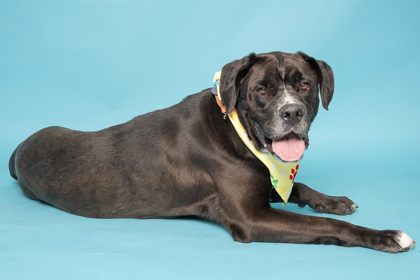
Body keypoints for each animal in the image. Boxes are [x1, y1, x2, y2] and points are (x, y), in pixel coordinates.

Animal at [9, 51, 414, 253]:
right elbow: (326, 227)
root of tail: (17, 148)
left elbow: (297, 187)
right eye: (261, 90)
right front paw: (386, 236)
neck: (240, 132)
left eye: (304, 85)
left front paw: (333, 200)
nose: (292, 113)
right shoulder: (252, 218)